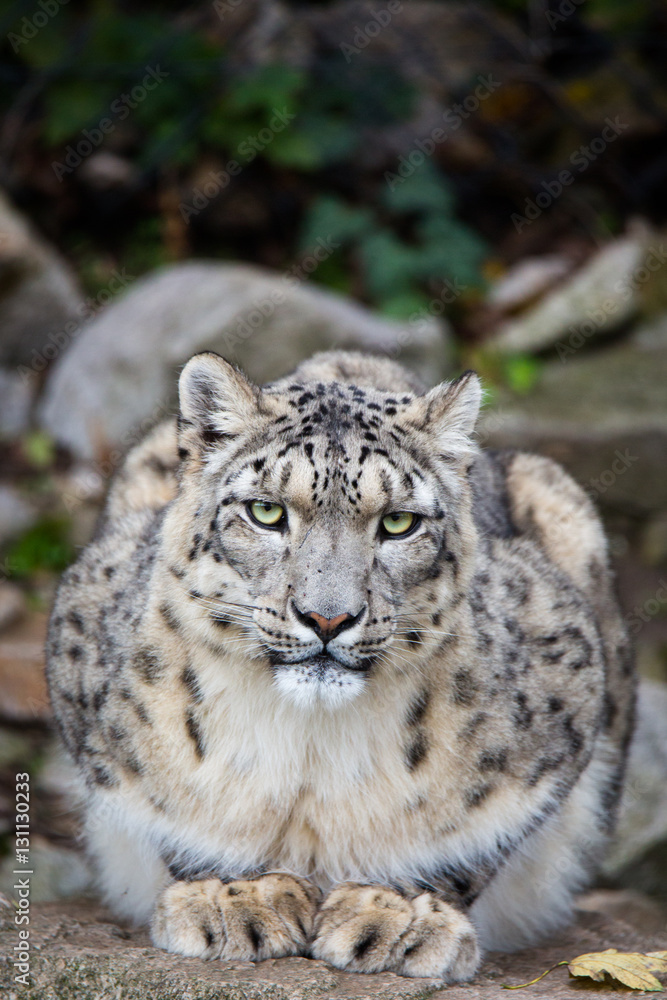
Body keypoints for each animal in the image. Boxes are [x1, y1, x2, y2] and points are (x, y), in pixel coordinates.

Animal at [46, 349, 634, 982]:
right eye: (265, 511)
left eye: (399, 522)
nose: (327, 618)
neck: (312, 741)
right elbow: (178, 818)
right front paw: (237, 894)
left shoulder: (560, 712)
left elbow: (473, 843)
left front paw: (397, 911)